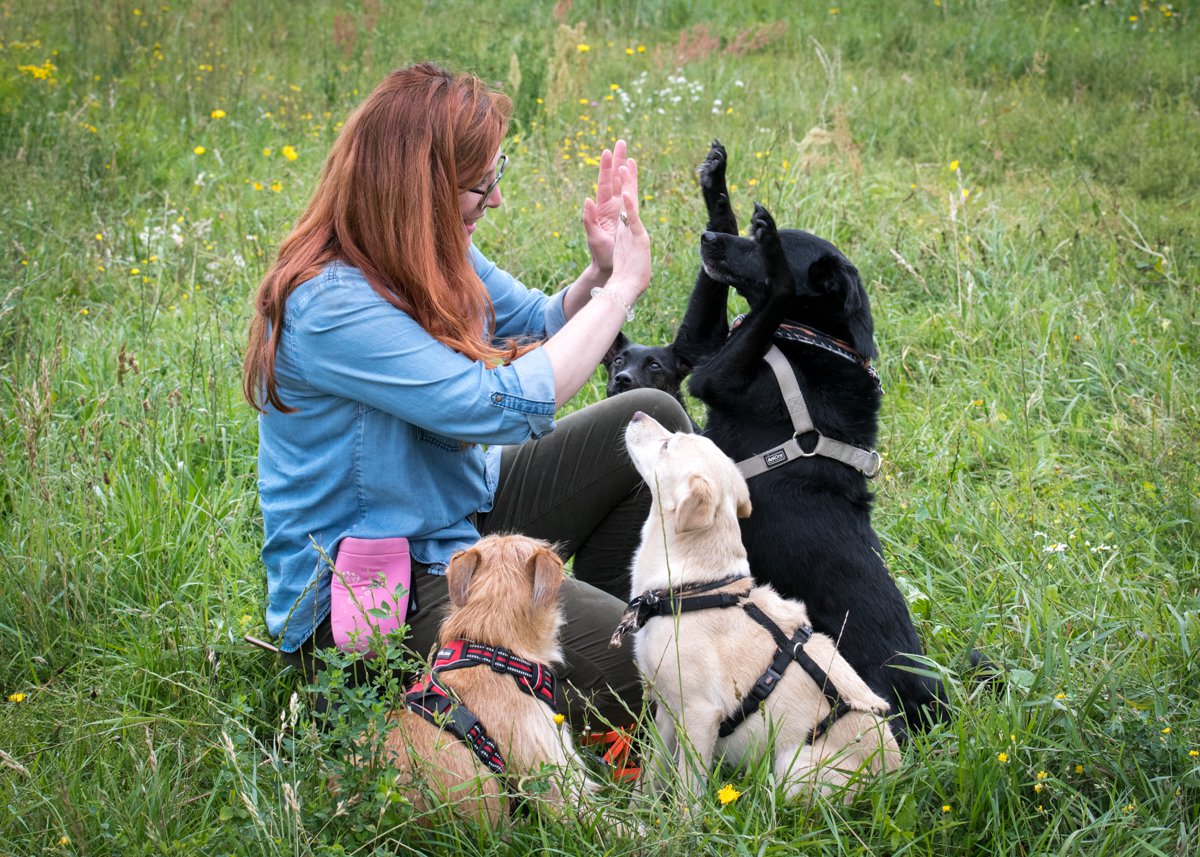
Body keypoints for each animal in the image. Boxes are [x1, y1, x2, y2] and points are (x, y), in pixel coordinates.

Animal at [672, 140, 950, 734]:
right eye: (734, 236)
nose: (706, 239)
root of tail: (933, 704)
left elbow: (774, 294)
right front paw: (717, 187)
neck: (809, 341)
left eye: (758, 246)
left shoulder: (715, 375)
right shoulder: (701, 348)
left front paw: (776, 266)